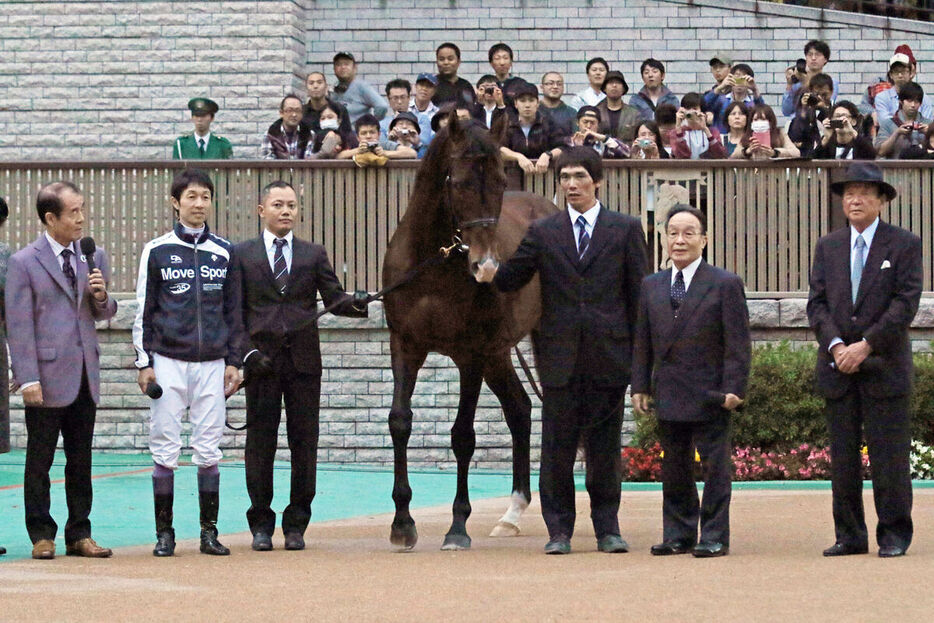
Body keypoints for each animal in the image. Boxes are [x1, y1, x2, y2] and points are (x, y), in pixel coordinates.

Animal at [380, 113, 556, 552]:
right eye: (457, 183)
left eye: (500, 181)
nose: (486, 267)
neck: (433, 264)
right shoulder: (405, 344)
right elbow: (400, 422)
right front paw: (402, 524)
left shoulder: (470, 354)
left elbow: (463, 435)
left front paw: (457, 527)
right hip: (498, 354)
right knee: (520, 409)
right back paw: (512, 514)